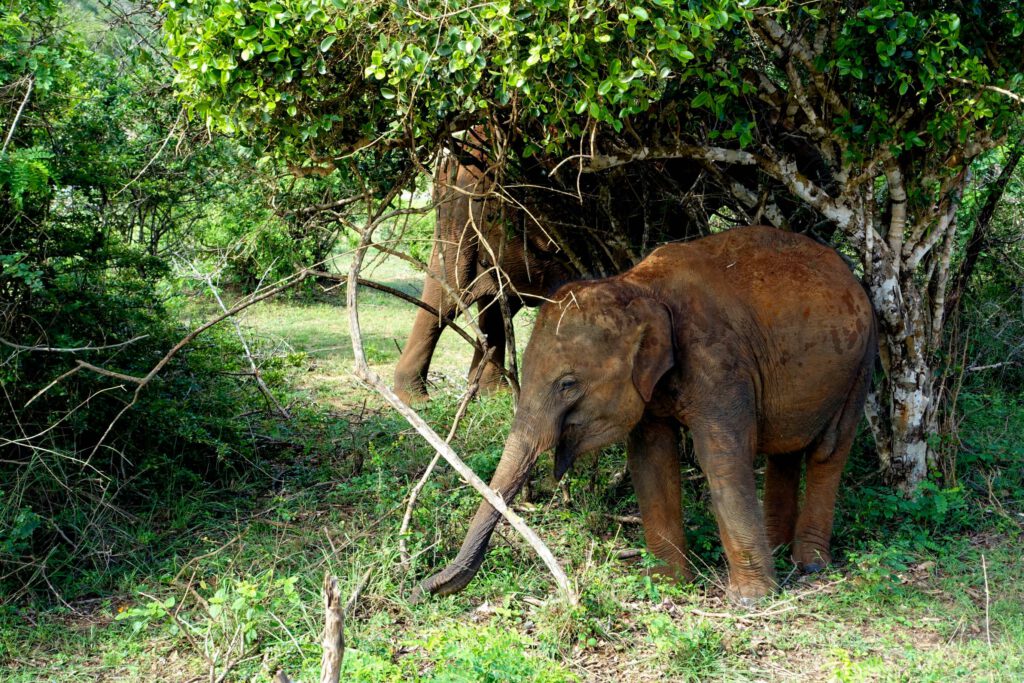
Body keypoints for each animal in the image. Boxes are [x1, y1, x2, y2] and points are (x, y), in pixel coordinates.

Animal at [411, 227, 876, 606]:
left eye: (568, 384)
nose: (421, 587)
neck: (638, 285)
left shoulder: (719, 362)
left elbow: (723, 457)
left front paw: (751, 599)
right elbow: (650, 459)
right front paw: (670, 585)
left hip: (860, 366)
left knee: (829, 450)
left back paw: (810, 565)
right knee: (785, 449)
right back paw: (779, 550)